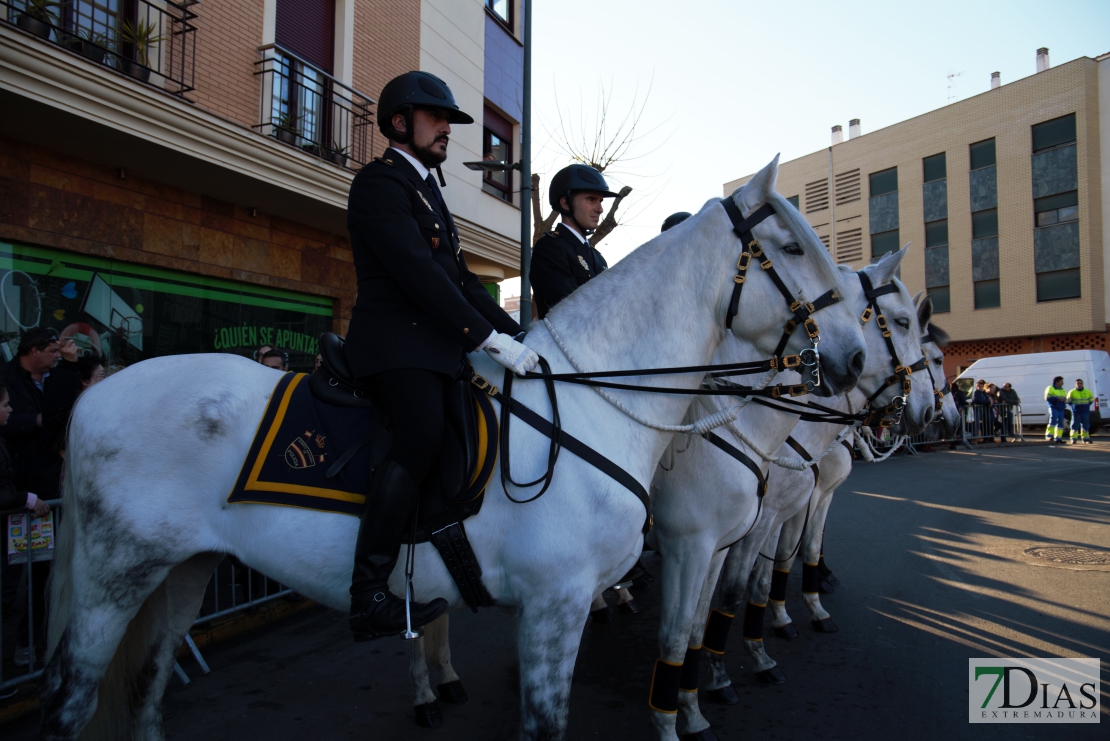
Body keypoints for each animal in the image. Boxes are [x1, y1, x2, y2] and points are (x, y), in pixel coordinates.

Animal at [41, 157, 865, 741]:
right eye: (789, 245)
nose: (853, 359)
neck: (603, 399)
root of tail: (94, 395)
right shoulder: (560, 602)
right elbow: (553, 719)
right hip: (115, 579)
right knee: (71, 705)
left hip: (182, 573)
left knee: (147, 691)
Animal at [648, 248, 932, 741]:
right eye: (900, 322)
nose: (932, 412)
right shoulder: (726, 533)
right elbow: (734, 592)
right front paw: (726, 675)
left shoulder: (788, 511)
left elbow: (780, 567)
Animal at [710, 292, 963, 692]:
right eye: (937, 359)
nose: (945, 420)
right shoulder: (789, 507)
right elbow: (787, 556)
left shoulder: (812, 500)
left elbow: (804, 549)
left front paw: (798, 608)